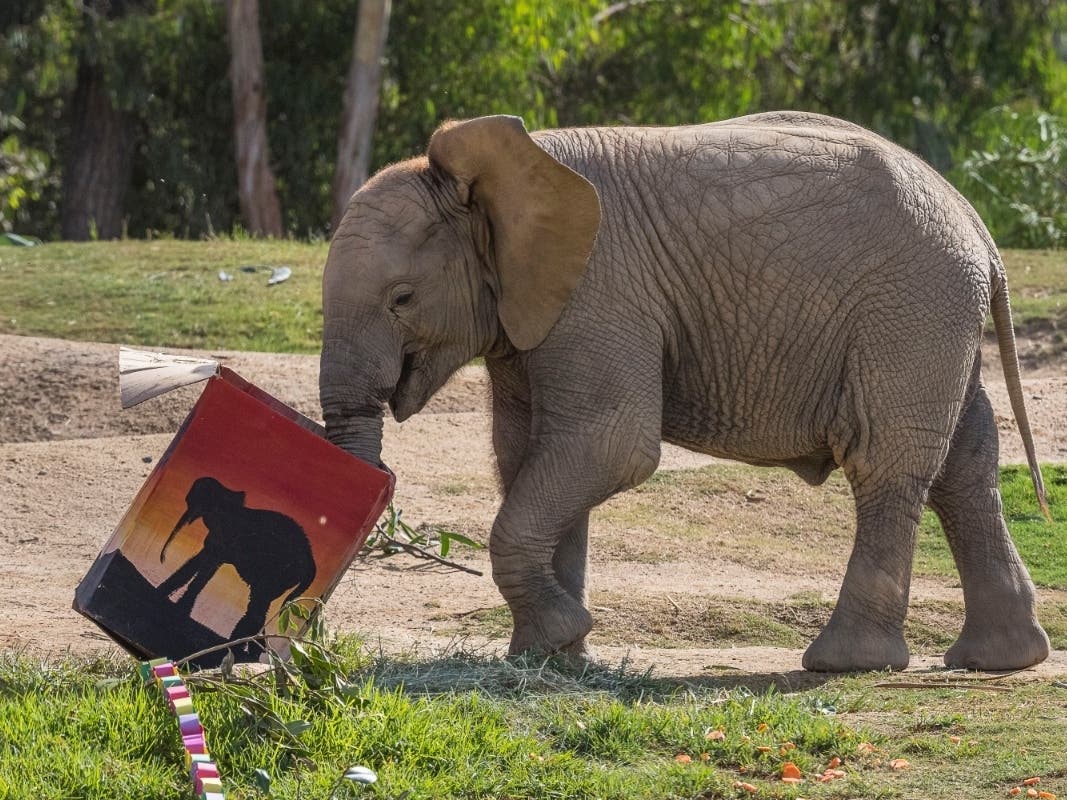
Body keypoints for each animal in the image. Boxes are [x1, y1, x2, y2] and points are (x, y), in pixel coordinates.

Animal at [159, 476, 317, 640]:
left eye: (194, 502)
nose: (163, 559)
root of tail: (311, 561)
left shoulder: (225, 537)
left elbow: (205, 570)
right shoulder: (216, 541)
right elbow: (201, 564)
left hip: (280, 574)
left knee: (258, 605)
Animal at [319, 110, 1051, 672]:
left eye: (401, 299)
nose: (376, 477)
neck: (499, 176)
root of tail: (977, 227)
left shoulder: (600, 289)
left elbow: (610, 444)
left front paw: (559, 638)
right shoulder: (530, 312)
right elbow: (526, 452)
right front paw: (554, 656)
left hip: (908, 309)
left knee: (884, 460)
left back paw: (846, 663)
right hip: (933, 313)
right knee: (964, 463)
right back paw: (998, 660)